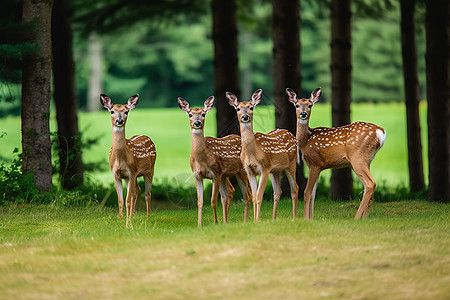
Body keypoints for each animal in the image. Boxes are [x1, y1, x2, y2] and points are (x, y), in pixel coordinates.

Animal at [101, 94, 157, 227]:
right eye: (112, 111)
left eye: (126, 112)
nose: (119, 121)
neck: (120, 160)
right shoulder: (117, 174)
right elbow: (121, 200)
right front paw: (120, 219)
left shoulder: (131, 172)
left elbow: (127, 200)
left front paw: (128, 224)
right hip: (135, 175)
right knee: (138, 190)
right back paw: (133, 214)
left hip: (150, 170)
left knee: (147, 193)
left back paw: (147, 216)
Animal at [177, 95, 253, 225]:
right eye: (190, 114)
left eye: (203, 114)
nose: (197, 123)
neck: (202, 159)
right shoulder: (197, 175)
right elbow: (200, 202)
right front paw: (199, 225)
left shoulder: (215, 173)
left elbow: (213, 201)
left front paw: (216, 223)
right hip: (226, 175)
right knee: (231, 192)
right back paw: (227, 221)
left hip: (241, 171)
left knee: (248, 194)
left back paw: (246, 220)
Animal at [229, 89, 298, 220]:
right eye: (238, 108)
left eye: (251, 107)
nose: (245, 116)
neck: (253, 153)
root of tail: (292, 135)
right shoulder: (249, 170)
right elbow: (254, 196)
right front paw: (255, 220)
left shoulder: (264, 168)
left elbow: (259, 195)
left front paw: (257, 220)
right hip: (275, 170)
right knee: (278, 191)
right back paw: (273, 219)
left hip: (291, 164)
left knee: (295, 188)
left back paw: (294, 218)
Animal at [284, 88, 386, 219]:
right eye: (297, 105)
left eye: (310, 105)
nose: (303, 114)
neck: (305, 141)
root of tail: (380, 131)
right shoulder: (315, 166)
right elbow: (313, 194)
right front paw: (311, 219)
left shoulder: (316, 163)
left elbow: (307, 192)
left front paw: (306, 219)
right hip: (367, 160)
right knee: (368, 185)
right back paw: (364, 219)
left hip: (358, 158)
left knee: (370, 184)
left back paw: (356, 218)